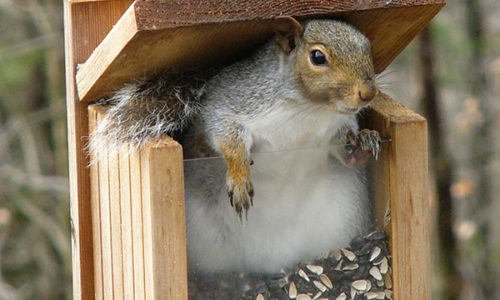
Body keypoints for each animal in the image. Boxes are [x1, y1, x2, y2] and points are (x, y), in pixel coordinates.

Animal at [91, 16, 378, 274]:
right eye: (318, 57)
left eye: (368, 48)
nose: (368, 93)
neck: (311, 109)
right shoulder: (230, 103)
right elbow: (226, 135)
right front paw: (239, 176)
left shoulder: (333, 129)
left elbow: (341, 145)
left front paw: (363, 142)